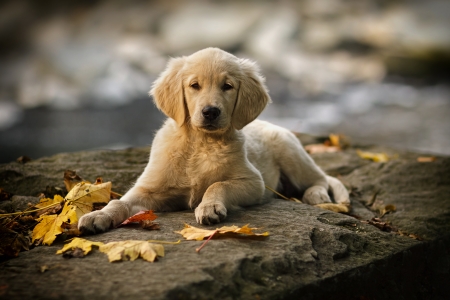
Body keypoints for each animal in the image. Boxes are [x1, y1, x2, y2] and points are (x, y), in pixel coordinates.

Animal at [79, 47, 350, 234]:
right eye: (194, 85)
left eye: (227, 86)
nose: (210, 112)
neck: (201, 143)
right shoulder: (149, 189)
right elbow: (119, 202)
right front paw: (98, 216)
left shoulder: (254, 182)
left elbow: (217, 184)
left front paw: (209, 207)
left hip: (291, 153)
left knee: (321, 178)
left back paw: (316, 195)